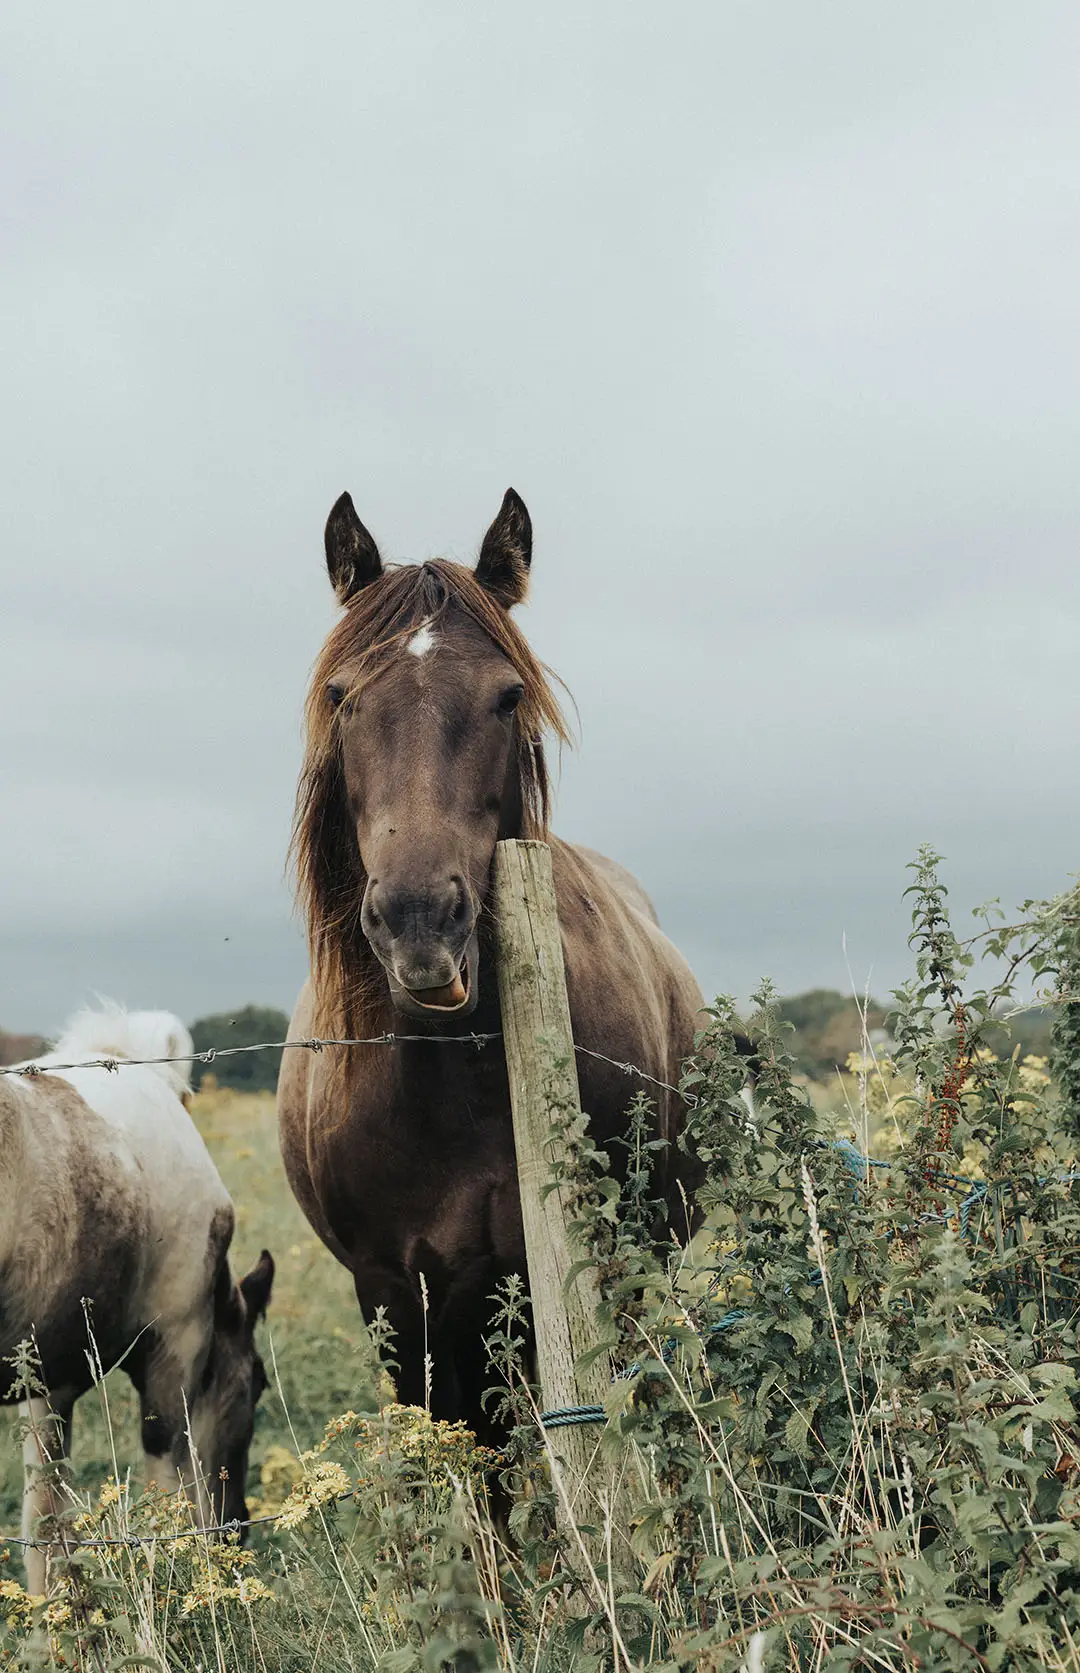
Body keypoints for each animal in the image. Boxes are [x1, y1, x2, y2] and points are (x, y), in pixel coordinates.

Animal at [1, 1005, 274, 1594]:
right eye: (258, 1384)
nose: (238, 1526)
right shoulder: (179, 1338)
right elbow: (169, 1488)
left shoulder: (47, 1372)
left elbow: (45, 1519)